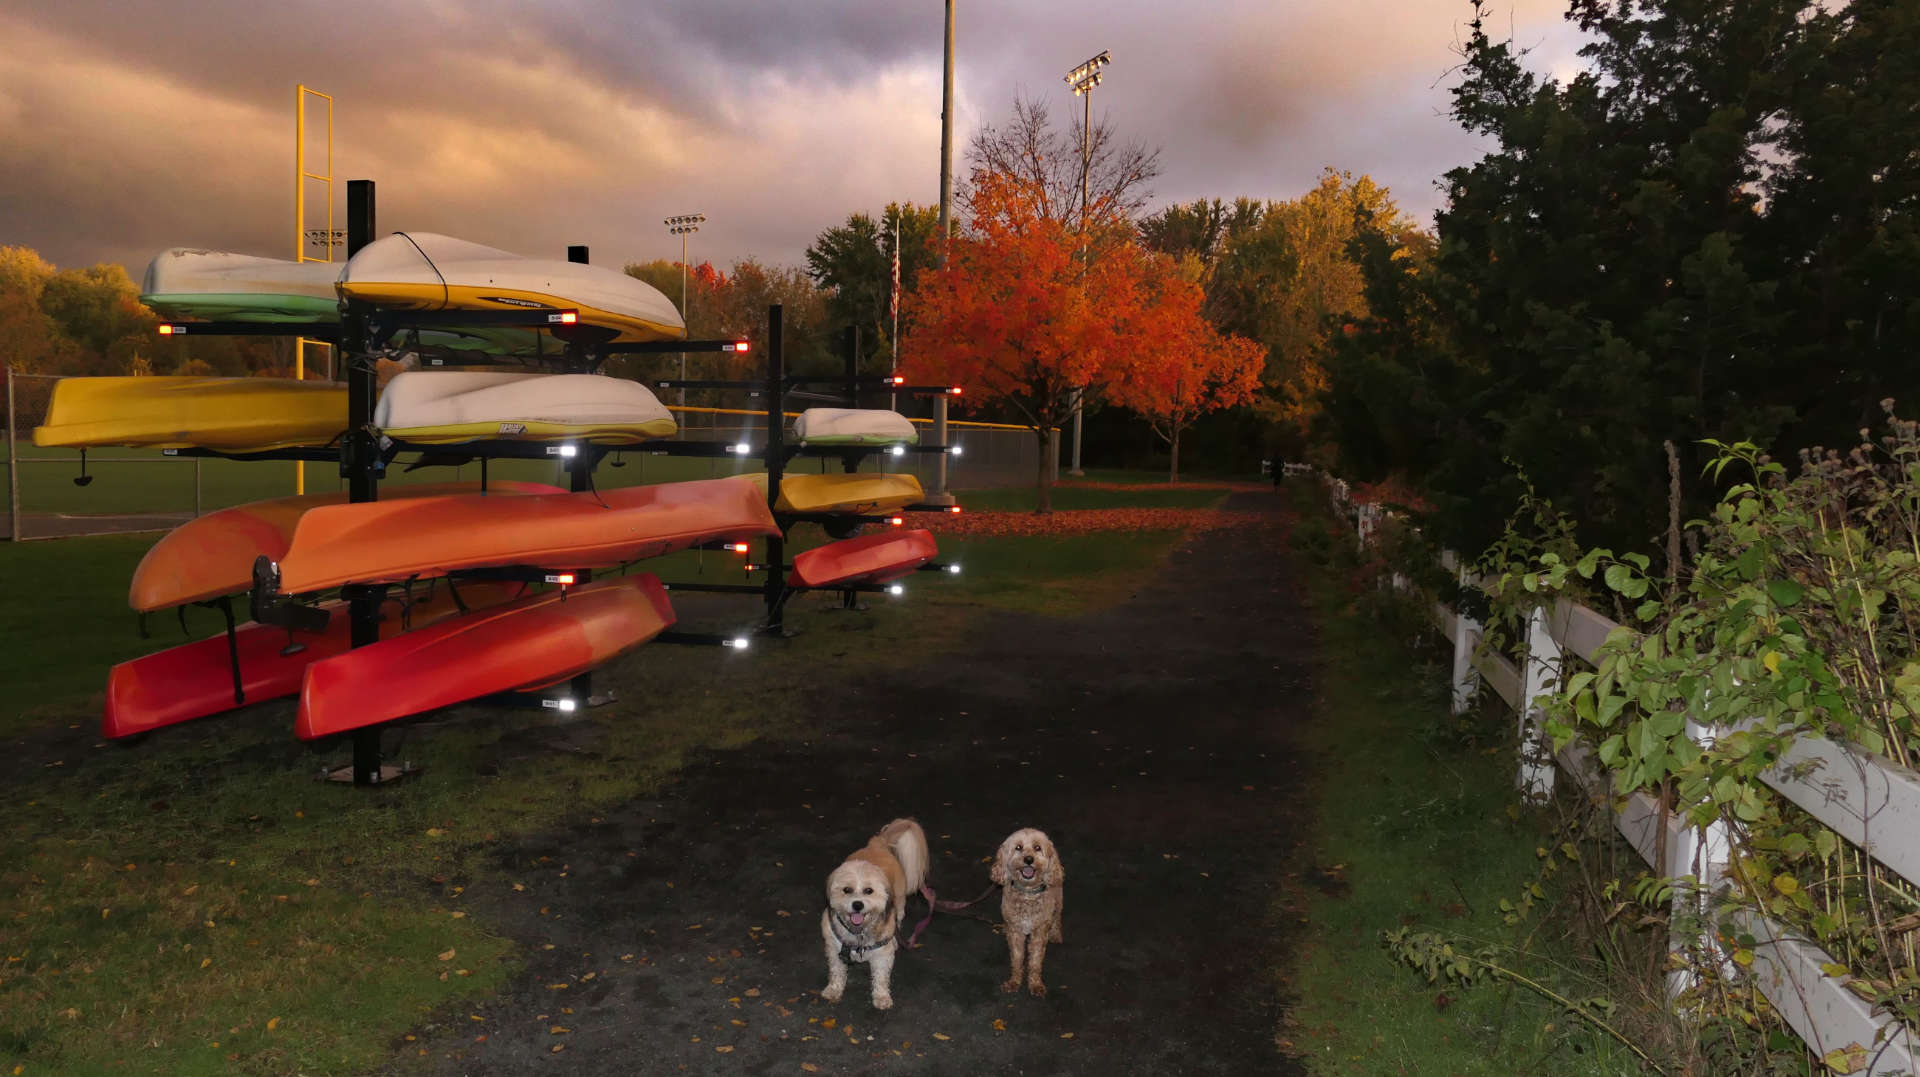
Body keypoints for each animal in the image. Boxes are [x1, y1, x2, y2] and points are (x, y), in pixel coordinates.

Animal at [817, 813, 929, 1005]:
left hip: (899, 903)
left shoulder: (882, 956)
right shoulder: (835, 950)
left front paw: (881, 997)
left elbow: (881, 978)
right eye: (847, 889)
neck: (859, 933)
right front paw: (834, 990)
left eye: (869, 890)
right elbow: (837, 973)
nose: (857, 905)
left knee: (898, 920)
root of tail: (877, 844)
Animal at [990, 825, 1067, 998]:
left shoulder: (1039, 932)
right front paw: (1014, 982)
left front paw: (1035, 984)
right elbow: (1017, 958)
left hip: (1058, 899)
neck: (1027, 893)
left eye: (1037, 848)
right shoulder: (1015, 931)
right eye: (1018, 847)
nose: (1029, 859)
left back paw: (1056, 934)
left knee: (1057, 917)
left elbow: (1035, 961)